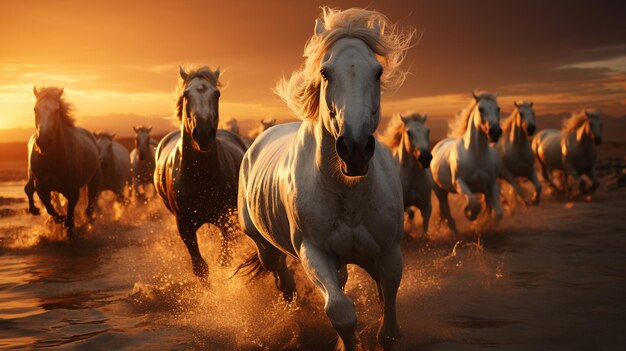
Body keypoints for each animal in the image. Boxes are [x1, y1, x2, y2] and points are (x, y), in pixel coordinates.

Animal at [23, 86, 100, 238]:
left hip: (93, 180)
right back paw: (35, 210)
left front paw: (69, 227)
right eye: (35, 109)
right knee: (29, 189)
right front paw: (58, 220)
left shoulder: (73, 190)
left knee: (90, 202)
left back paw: (90, 218)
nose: (43, 142)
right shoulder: (41, 186)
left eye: (57, 110)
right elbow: (50, 209)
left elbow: (69, 215)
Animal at [154, 65, 246, 280]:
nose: (203, 134)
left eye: (217, 94)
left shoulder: (226, 220)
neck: (200, 176)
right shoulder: (185, 226)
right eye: (186, 95)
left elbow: (224, 259)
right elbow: (200, 267)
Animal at [236, 8, 412, 351]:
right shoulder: (315, 253)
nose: (354, 149)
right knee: (282, 278)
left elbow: (389, 324)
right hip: (266, 248)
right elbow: (341, 311)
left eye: (378, 72)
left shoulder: (389, 255)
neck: (349, 196)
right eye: (326, 72)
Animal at [428, 91, 502, 234]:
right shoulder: (459, 183)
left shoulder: (491, 184)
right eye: (480, 109)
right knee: (445, 209)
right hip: (439, 191)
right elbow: (474, 203)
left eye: (498, 109)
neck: (476, 155)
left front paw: (485, 225)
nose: (495, 132)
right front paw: (469, 214)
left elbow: (497, 213)